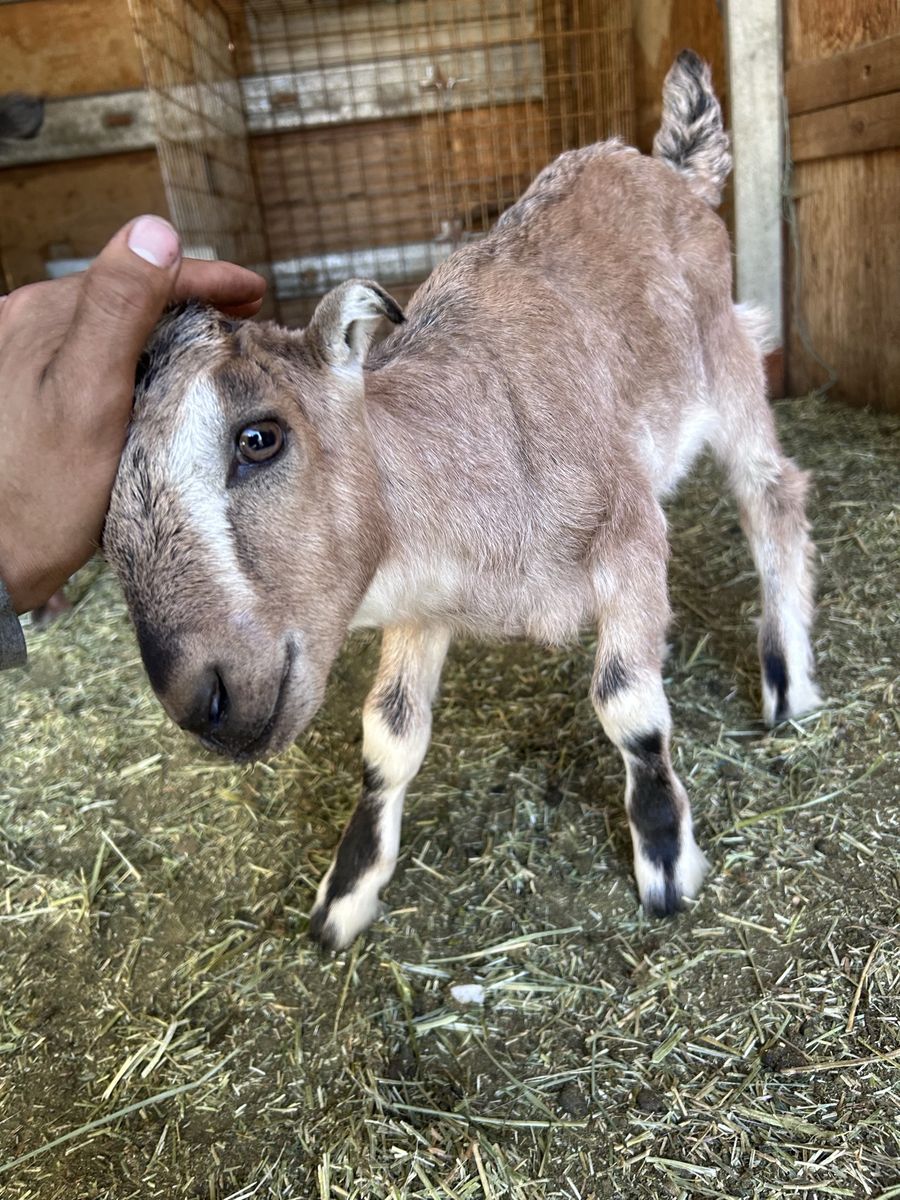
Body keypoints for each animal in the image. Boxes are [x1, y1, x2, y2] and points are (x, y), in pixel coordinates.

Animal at [104, 52, 820, 950]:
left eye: (259, 437)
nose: (200, 699)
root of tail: (670, 166)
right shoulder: (420, 606)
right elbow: (387, 735)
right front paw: (346, 894)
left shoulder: (628, 536)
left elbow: (628, 705)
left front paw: (664, 862)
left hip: (727, 360)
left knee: (772, 494)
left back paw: (789, 683)